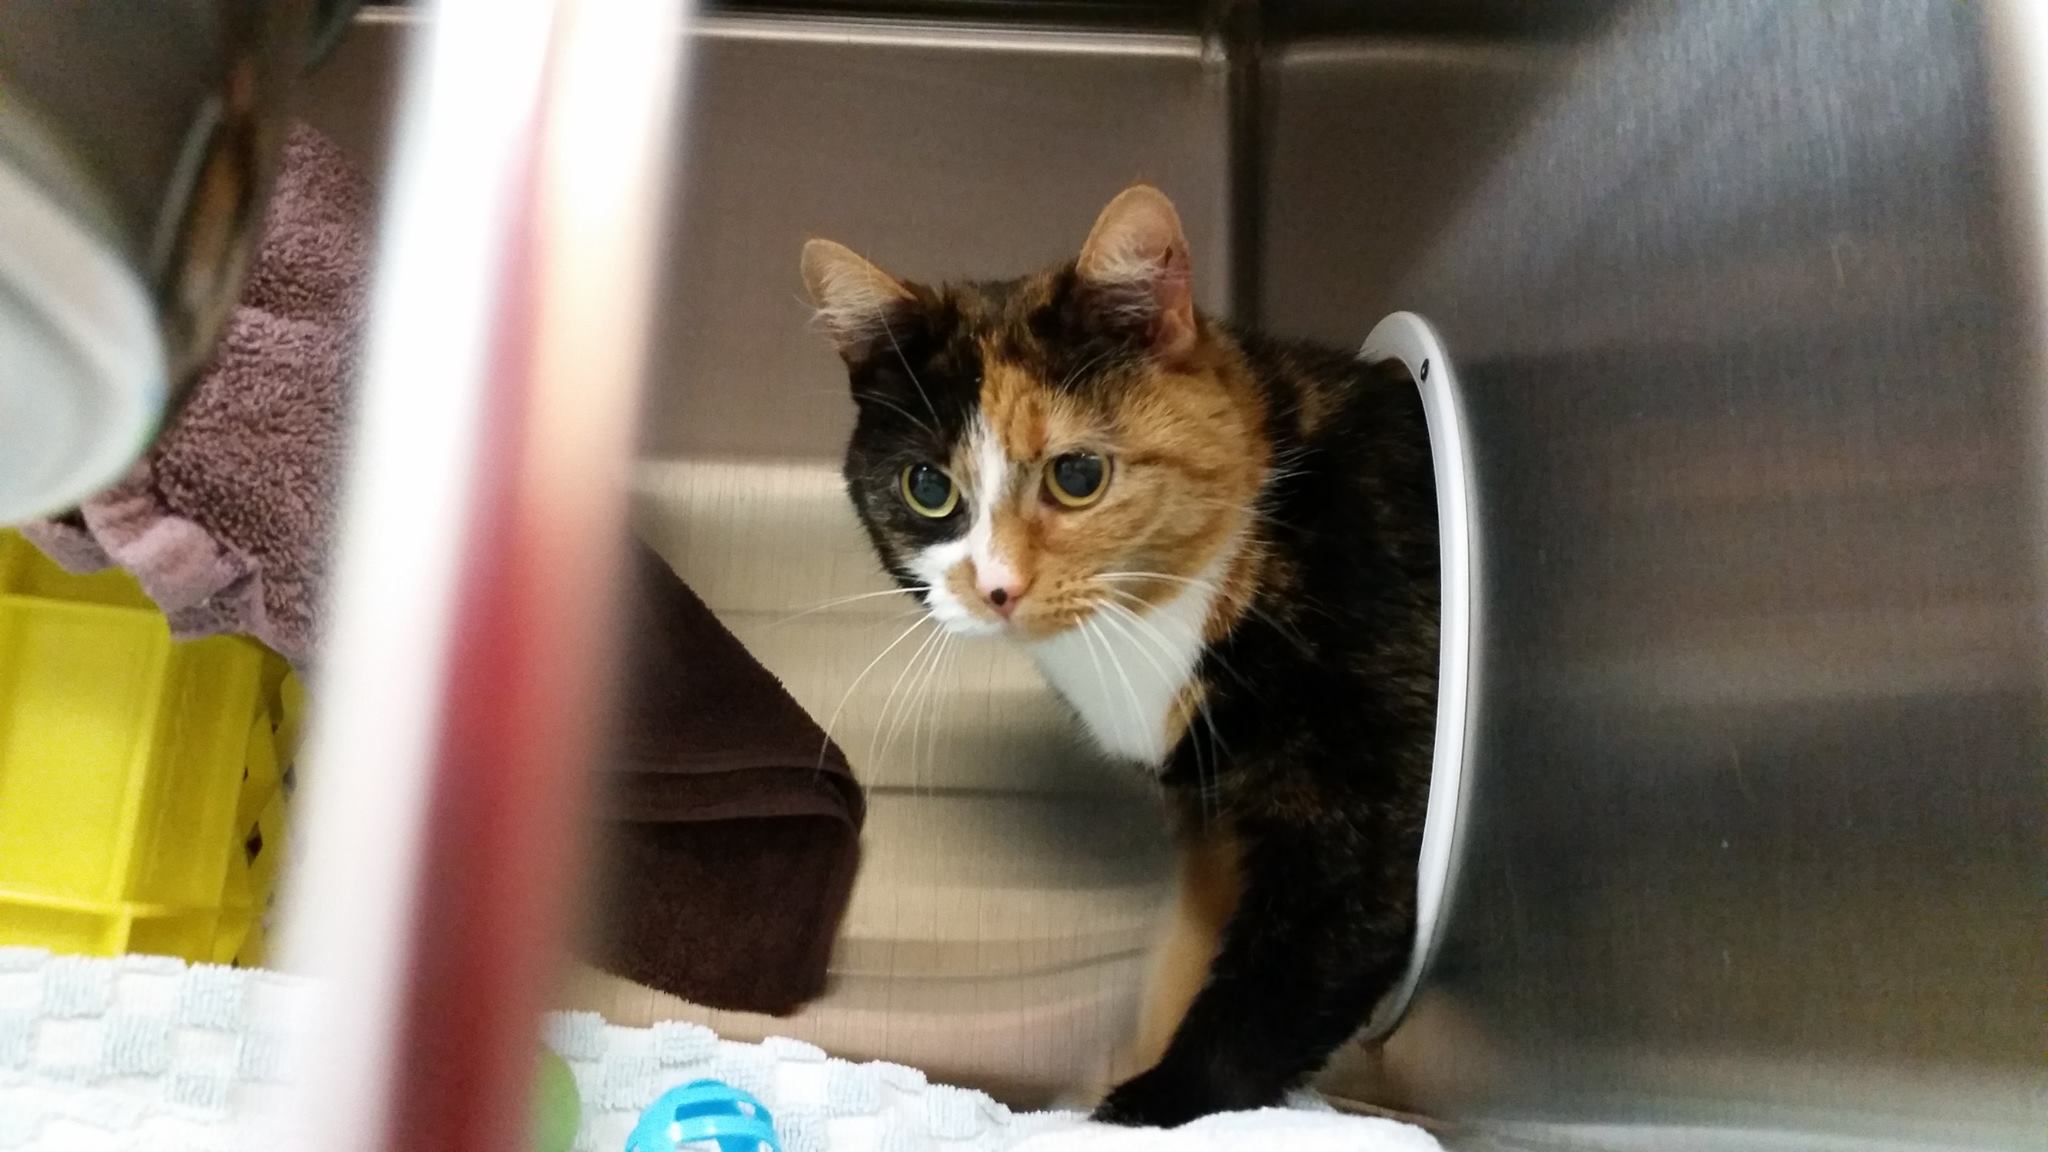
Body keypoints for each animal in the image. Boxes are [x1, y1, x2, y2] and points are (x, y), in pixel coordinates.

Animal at [801, 185, 1439, 1128]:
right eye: (928, 488)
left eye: (1077, 476)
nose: (995, 587)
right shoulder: (1207, 814)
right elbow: (1186, 946)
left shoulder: (1363, 791)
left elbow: (1292, 969)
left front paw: (1141, 1107)